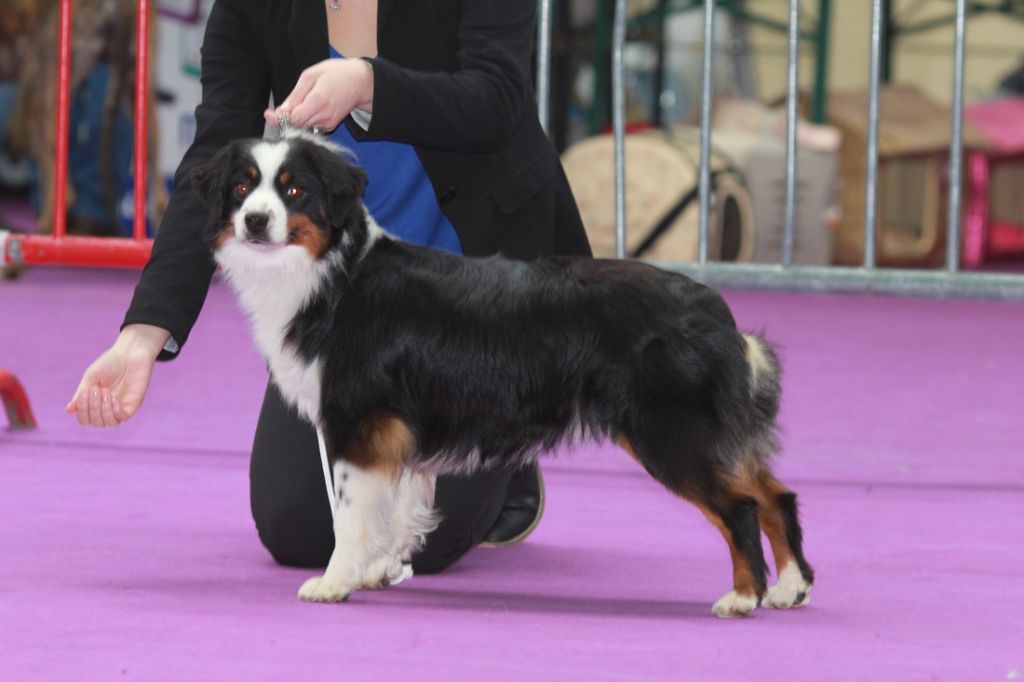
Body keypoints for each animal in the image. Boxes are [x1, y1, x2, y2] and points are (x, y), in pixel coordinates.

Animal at [191, 131, 814, 618]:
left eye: (294, 190)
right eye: (242, 187)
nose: (255, 221)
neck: (331, 275)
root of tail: (714, 309)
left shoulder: (357, 421)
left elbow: (349, 514)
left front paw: (335, 580)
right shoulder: (395, 430)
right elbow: (397, 502)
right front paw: (380, 568)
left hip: (670, 430)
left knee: (741, 505)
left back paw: (743, 596)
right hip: (705, 429)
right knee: (775, 493)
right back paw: (790, 587)